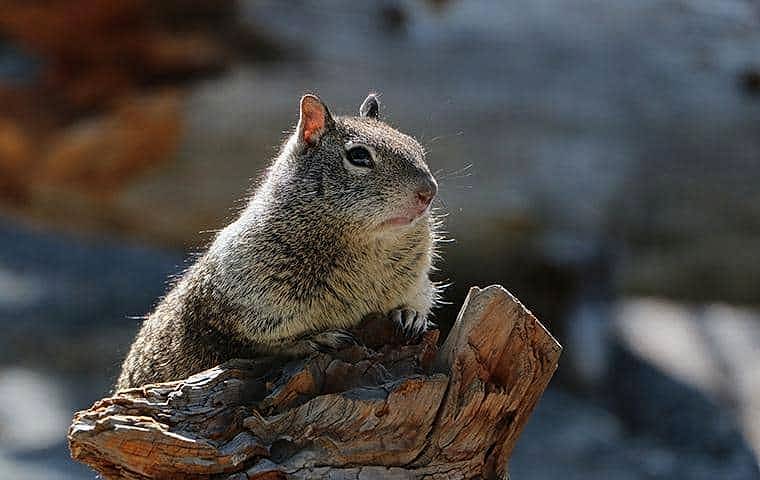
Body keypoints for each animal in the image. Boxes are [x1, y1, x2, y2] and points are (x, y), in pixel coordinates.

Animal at [116, 93, 441, 390]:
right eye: (359, 156)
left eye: (415, 146)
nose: (429, 192)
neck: (368, 245)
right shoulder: (235, 306)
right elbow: (264, 344)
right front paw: (317, 338)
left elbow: (417, 299)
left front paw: (410, 314)